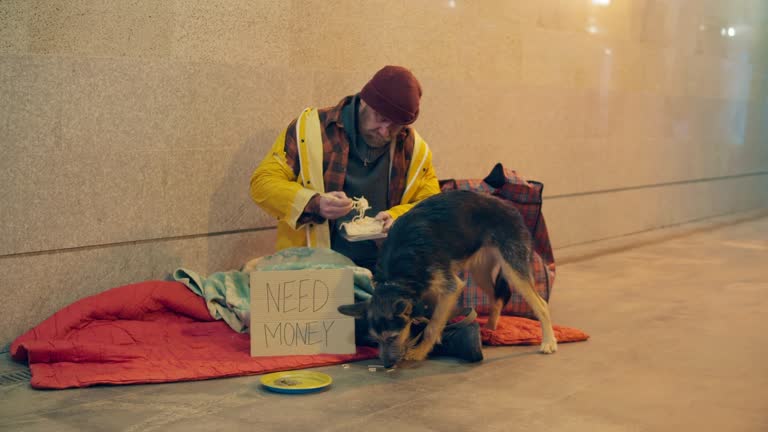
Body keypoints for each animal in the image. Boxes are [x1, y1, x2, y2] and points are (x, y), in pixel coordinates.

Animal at [340, 190, 556, 368]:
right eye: (375, 340)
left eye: (392, 337)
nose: (386, 366)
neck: (395, 278)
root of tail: (509, 206)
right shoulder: (433, 290)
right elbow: (430, 319)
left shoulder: (451, 287)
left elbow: (432, 325)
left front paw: (420, 352)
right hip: (479, 270)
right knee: (497, 296)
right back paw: (490, 329)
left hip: (513, 268)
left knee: (541, 304)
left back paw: (548, 342)